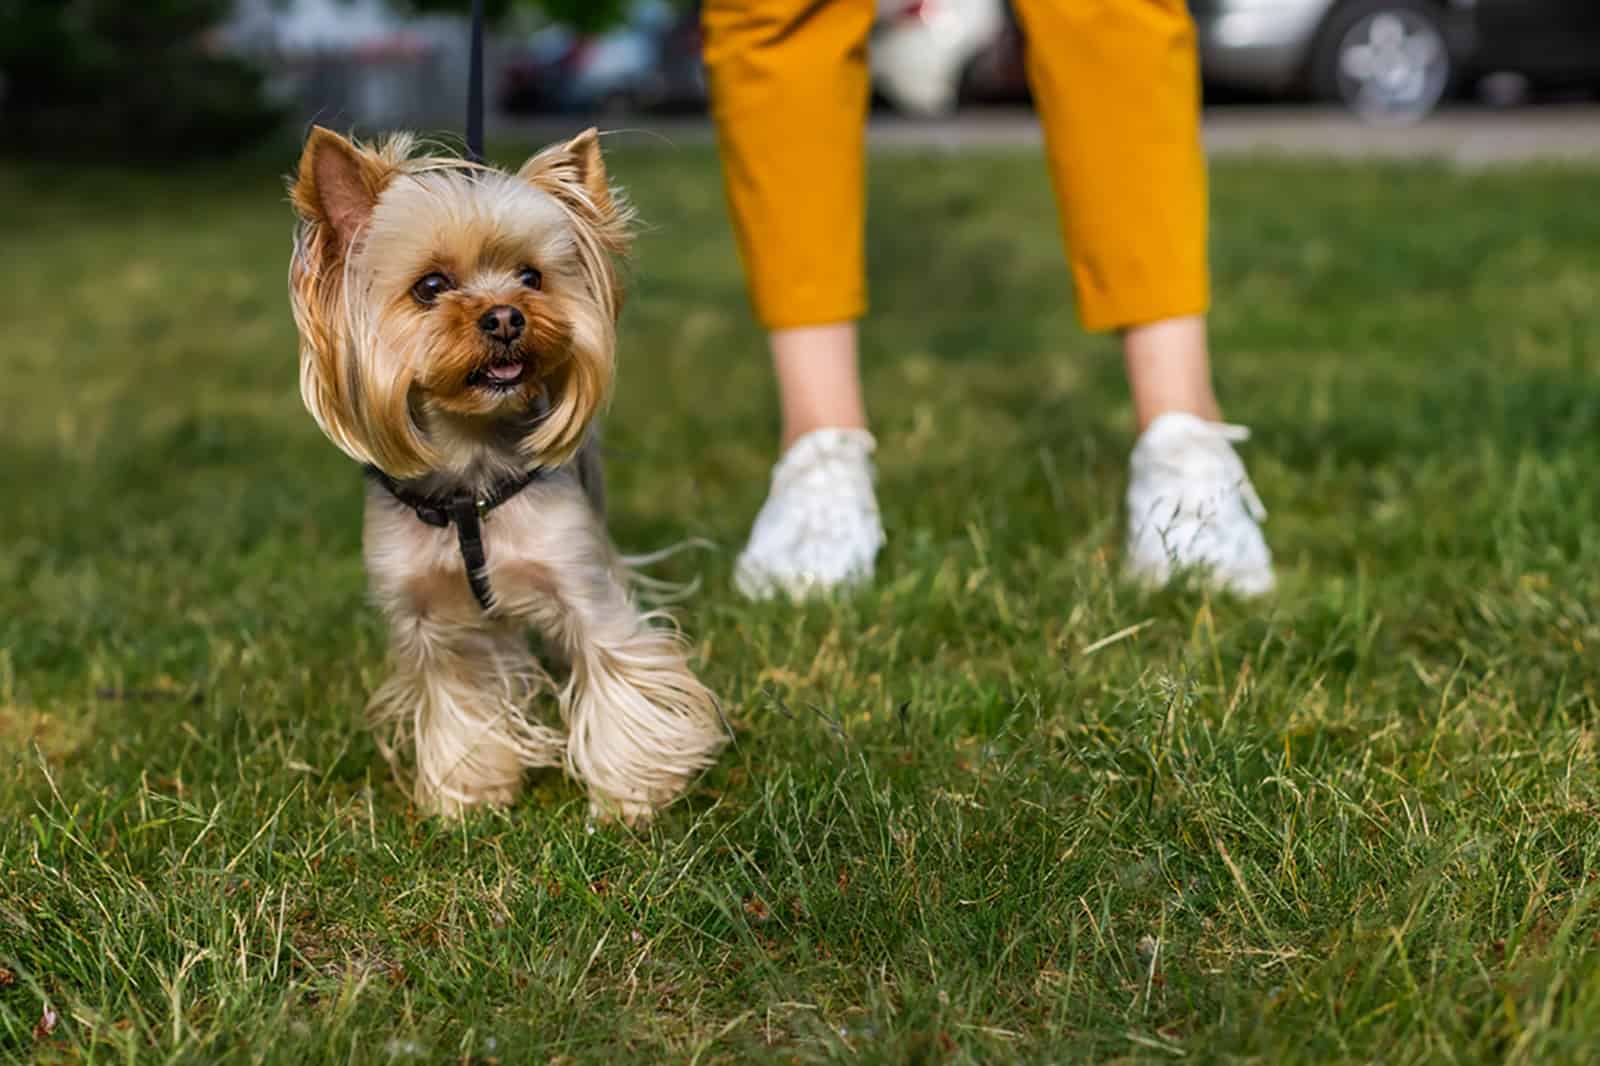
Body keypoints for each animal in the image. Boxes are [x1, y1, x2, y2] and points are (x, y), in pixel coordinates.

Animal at [291, 126, 729, 819]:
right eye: (430, 286)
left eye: (531, 277)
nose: (504, 315)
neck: (469, 480)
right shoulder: (430, 621)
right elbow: (459, 698)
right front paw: (468, 793)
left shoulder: (580, 581)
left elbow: (617, 672)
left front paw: (631, 796)